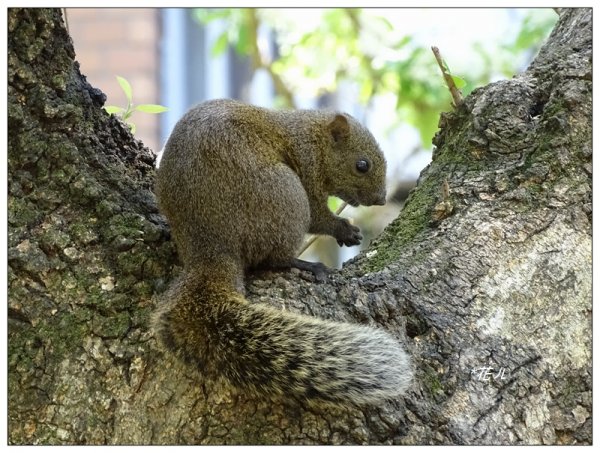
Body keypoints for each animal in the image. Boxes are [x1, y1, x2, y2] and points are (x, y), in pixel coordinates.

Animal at [152, 99, 412, 406]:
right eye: (362, 165)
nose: (381, 199)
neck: (311, 136)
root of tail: (210, 250)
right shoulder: (307, 170)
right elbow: (318, 217)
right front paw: (345, 230)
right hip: (285, 195)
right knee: (274, 258)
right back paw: (306, 264)